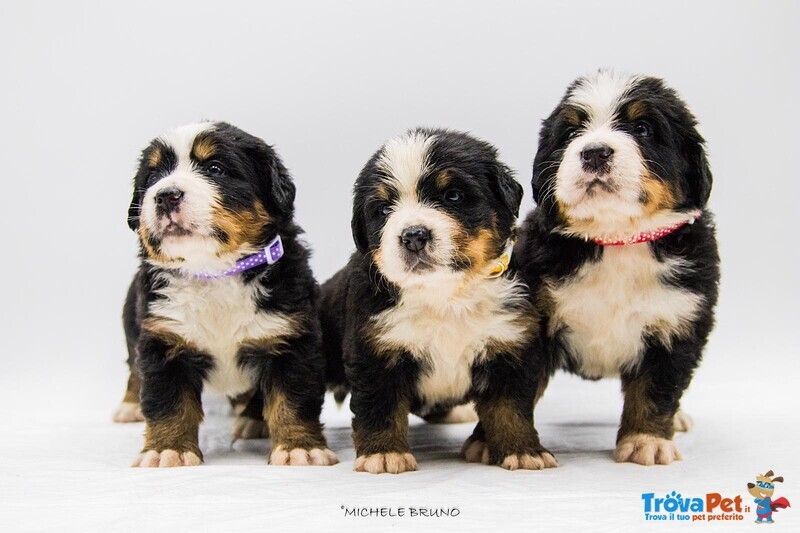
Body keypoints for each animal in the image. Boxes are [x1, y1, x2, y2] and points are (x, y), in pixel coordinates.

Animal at [114, 120, 336, 466]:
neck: (214, 272)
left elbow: (293, 400)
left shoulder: (291, 337)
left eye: (215, 168)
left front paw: (300, 448)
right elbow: (168, 402)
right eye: (152, 177)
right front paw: (168, 450)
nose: (165, 195)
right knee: (133, 367)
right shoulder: (163, 339)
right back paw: (129, 405)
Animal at [318, 129, 556, 474]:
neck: (445, 296)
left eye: (453, 196)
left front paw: (523, 451)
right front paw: (384, 454)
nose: (413, 235)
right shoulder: (374, 351)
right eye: (383, 209)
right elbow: (381, 407)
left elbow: (511, 409)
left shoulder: (509, 346)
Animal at [516, 71, 720, 466]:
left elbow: (656, 391)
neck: (617, 240)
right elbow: (517, 388)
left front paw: (646, 440)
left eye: (642, 128)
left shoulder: (678, 322)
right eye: (570, 133)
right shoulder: (536, 318)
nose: (594, 151)